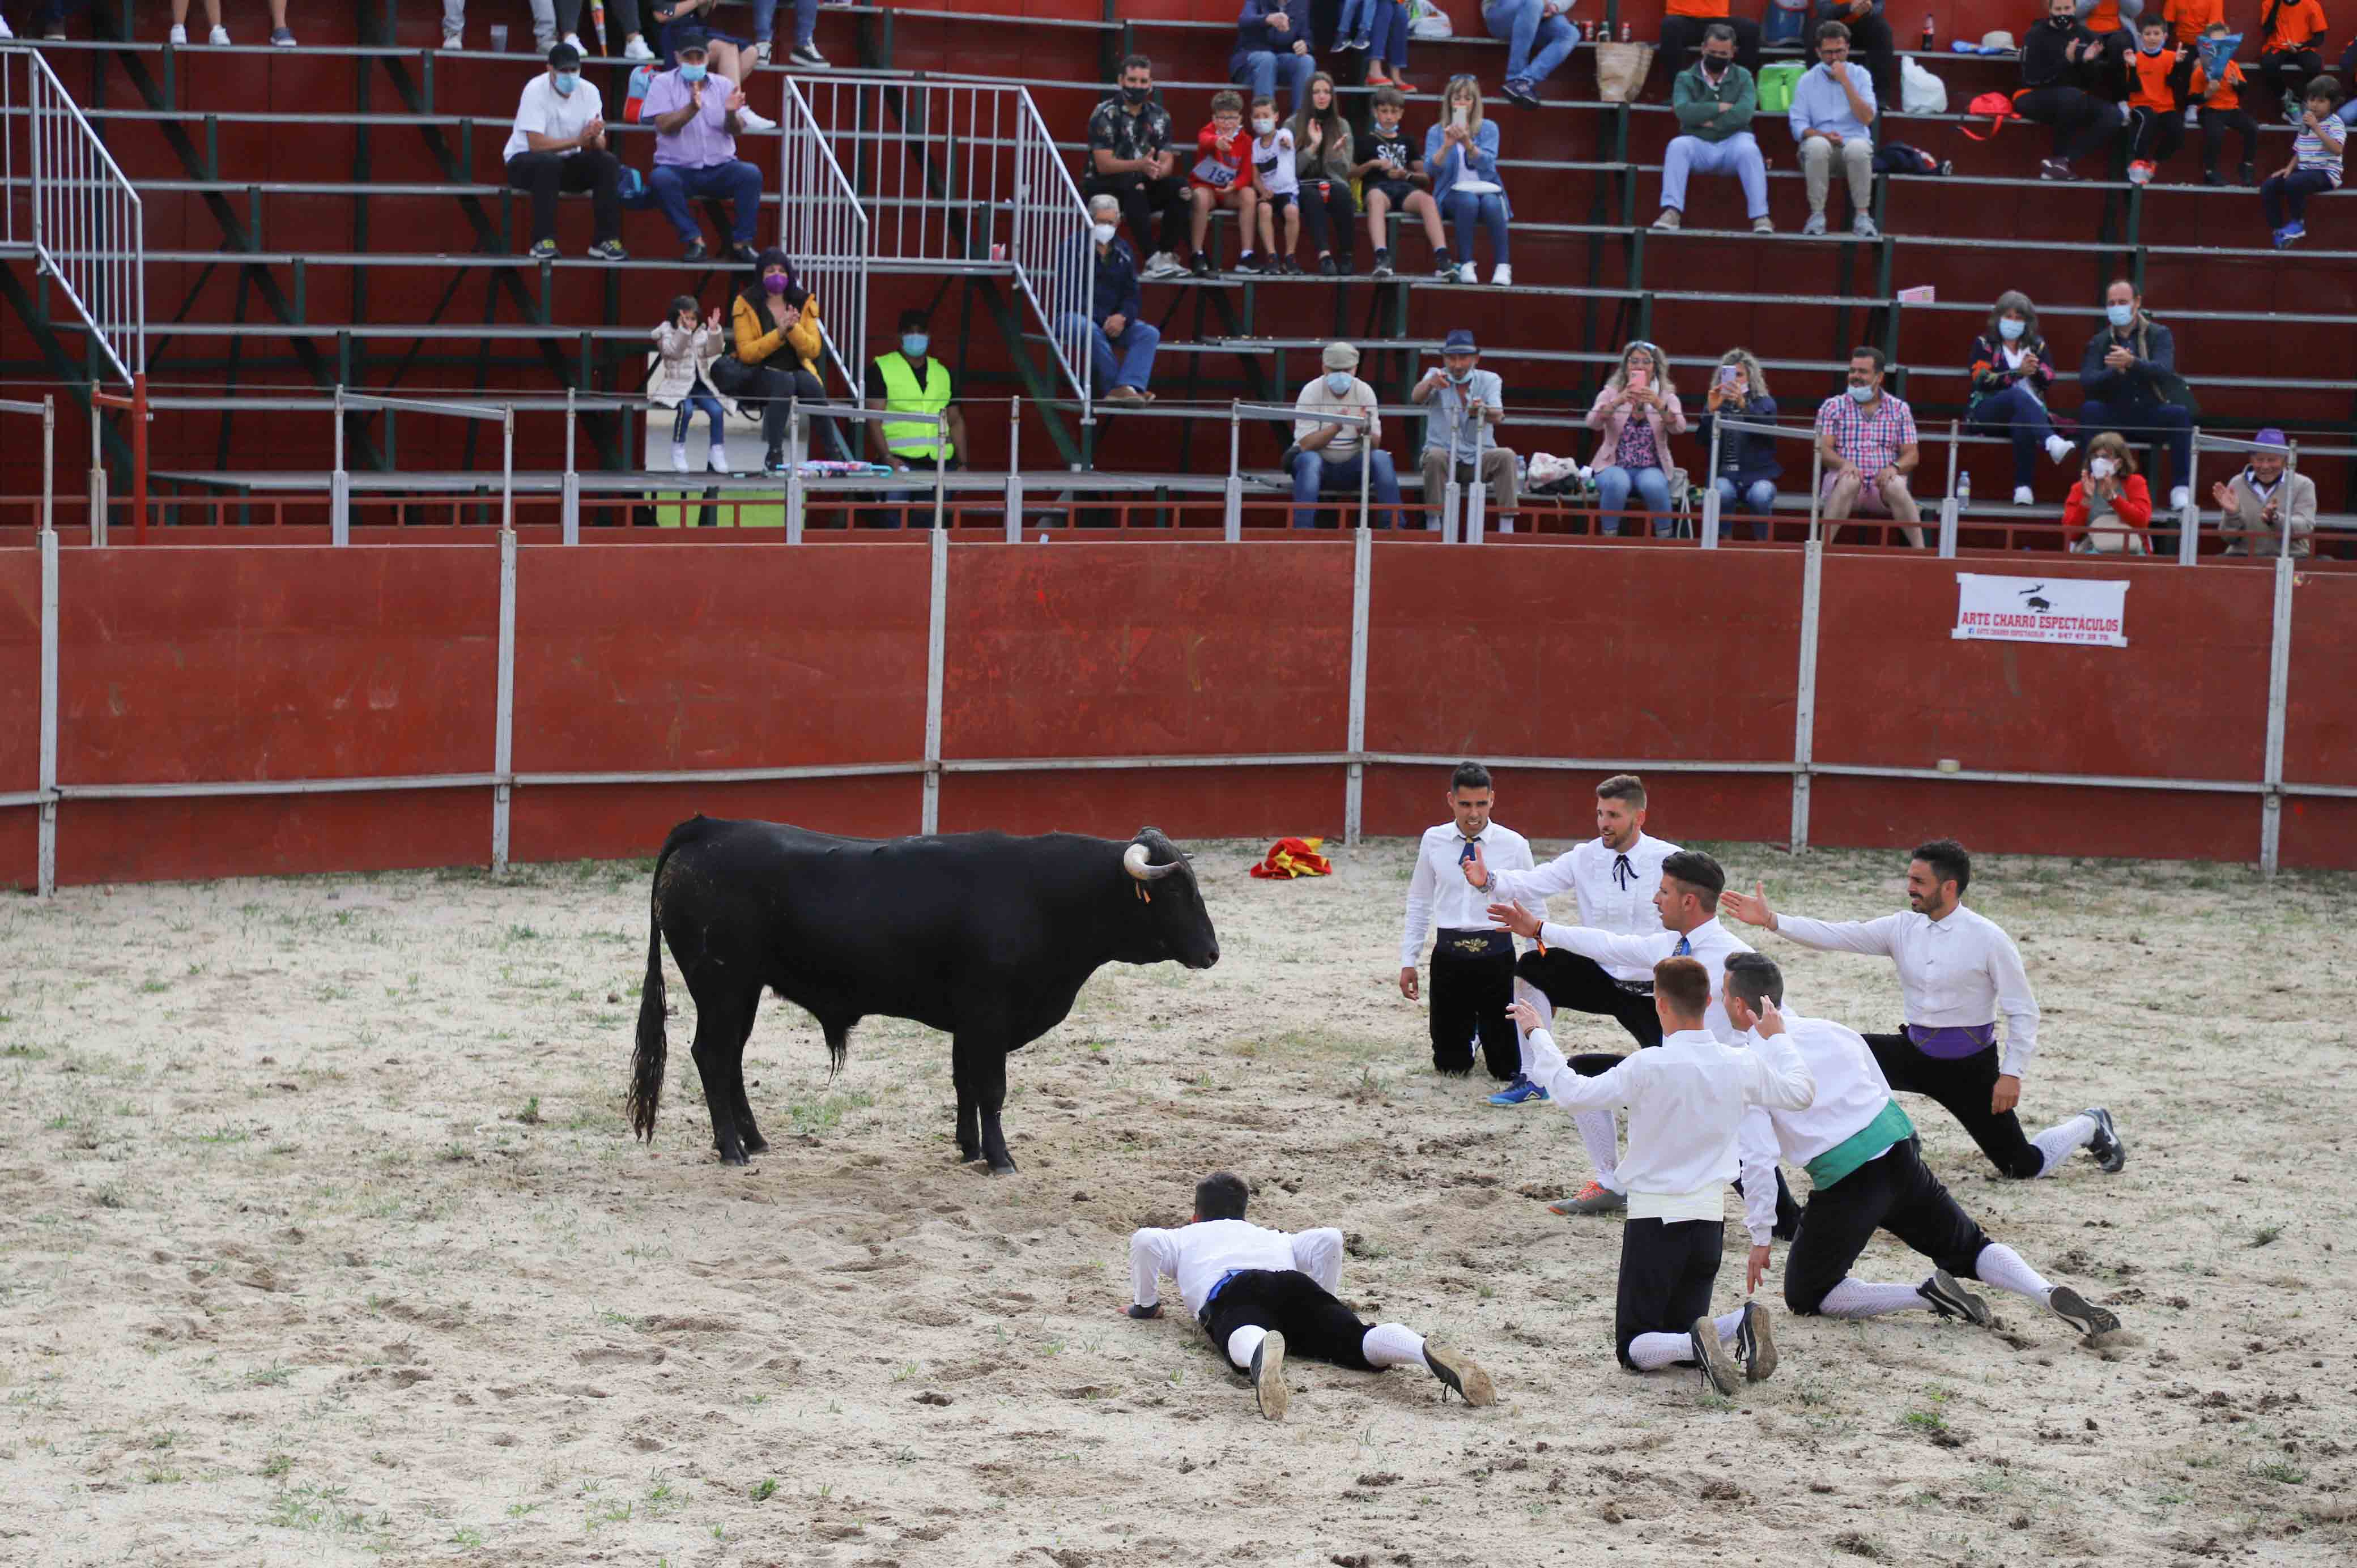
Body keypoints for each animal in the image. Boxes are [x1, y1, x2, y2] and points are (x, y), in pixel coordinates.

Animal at [627, 811, 1216, 1169]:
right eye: (1176, 893)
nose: (1212, 952)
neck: (1046, 895)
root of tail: (709, 827)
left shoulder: (969, 1022)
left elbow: (965, 1084)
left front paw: (970, 1148)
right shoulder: (988, 1014)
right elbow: (992, 1088)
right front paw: (1001, 1159)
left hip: (742, 991)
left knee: (730, 1060)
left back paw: (754, 1140)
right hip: (722, 987)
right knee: (711, 1056)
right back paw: (732, 1149)